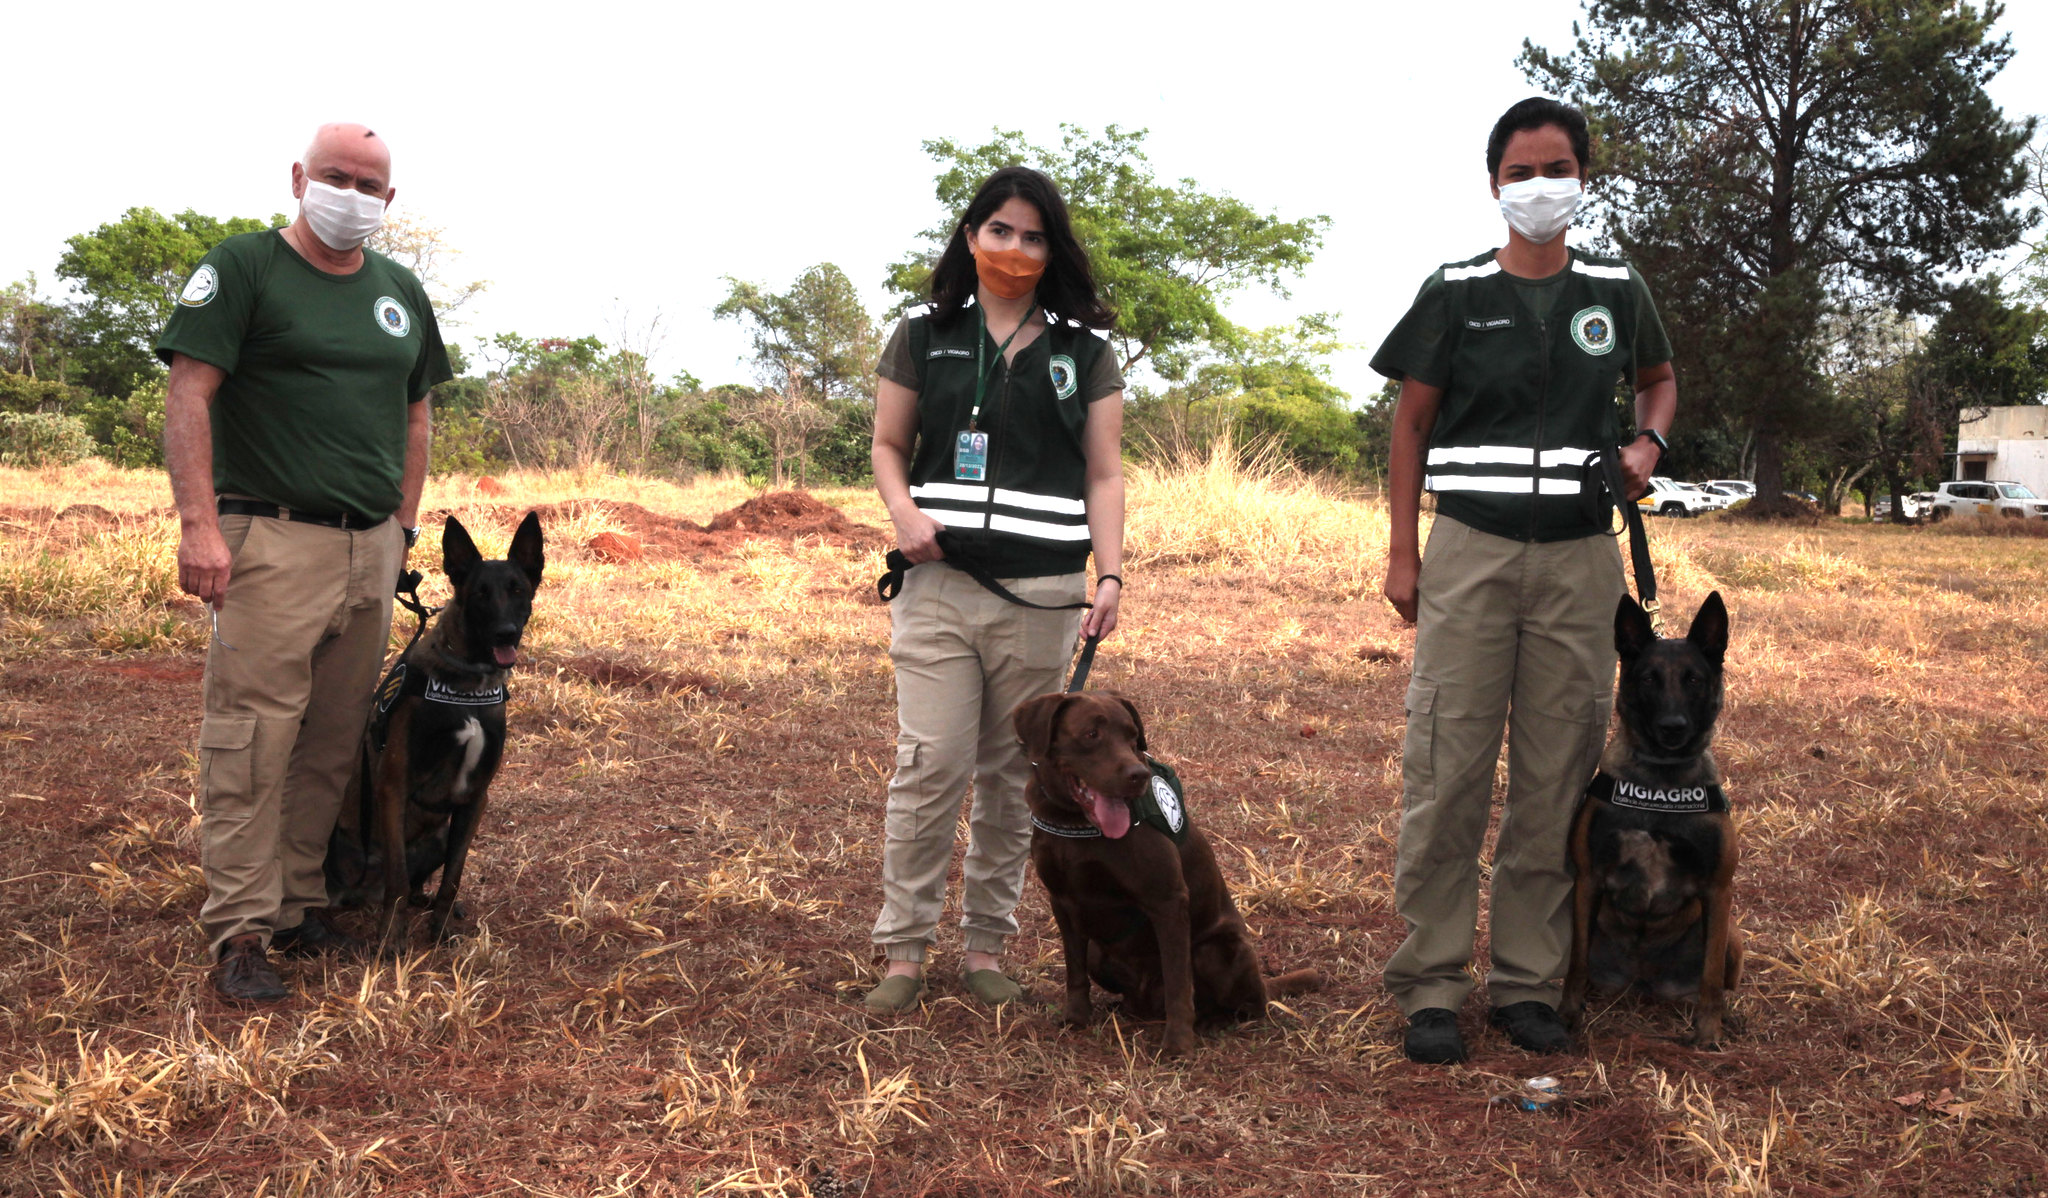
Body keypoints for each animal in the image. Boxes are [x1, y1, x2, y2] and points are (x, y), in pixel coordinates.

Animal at [323, 509, 544, 950]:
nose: (506, 633)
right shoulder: (394, 785)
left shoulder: (475, 798)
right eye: (479, 594)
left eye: (517, 590)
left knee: (417, 886)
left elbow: (452, 879)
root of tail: (360, 893)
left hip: (440, 835)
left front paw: (440, 929)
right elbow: (396, 876)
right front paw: (392, 937)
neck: (467, 681)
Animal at [1011, 688, 1327, 1048]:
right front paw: (1075, 1018)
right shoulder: (1062, 902)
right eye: (1091, 734)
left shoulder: (1168, 900)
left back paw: (1212, 1021)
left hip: (1216, 950)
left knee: (1248, 1005)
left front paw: (1177, 1043)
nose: (1138, 775)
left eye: (1132, 736)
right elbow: (1074, 970)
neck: (1076, 822)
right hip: (1098, 952)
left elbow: (1178, 983)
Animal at [1564, 589, 1744, 1048]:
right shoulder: (1589, 879)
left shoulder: (1718, 890)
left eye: (1694, 680)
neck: (1661, 779)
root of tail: (1642, 983)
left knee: (1721, 981)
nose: (1672, 727)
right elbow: (1576, 964)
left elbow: (1711, 979)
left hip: (1732, 933)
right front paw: (1567, 1017)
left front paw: (1708, 1033)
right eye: (1648, 679)